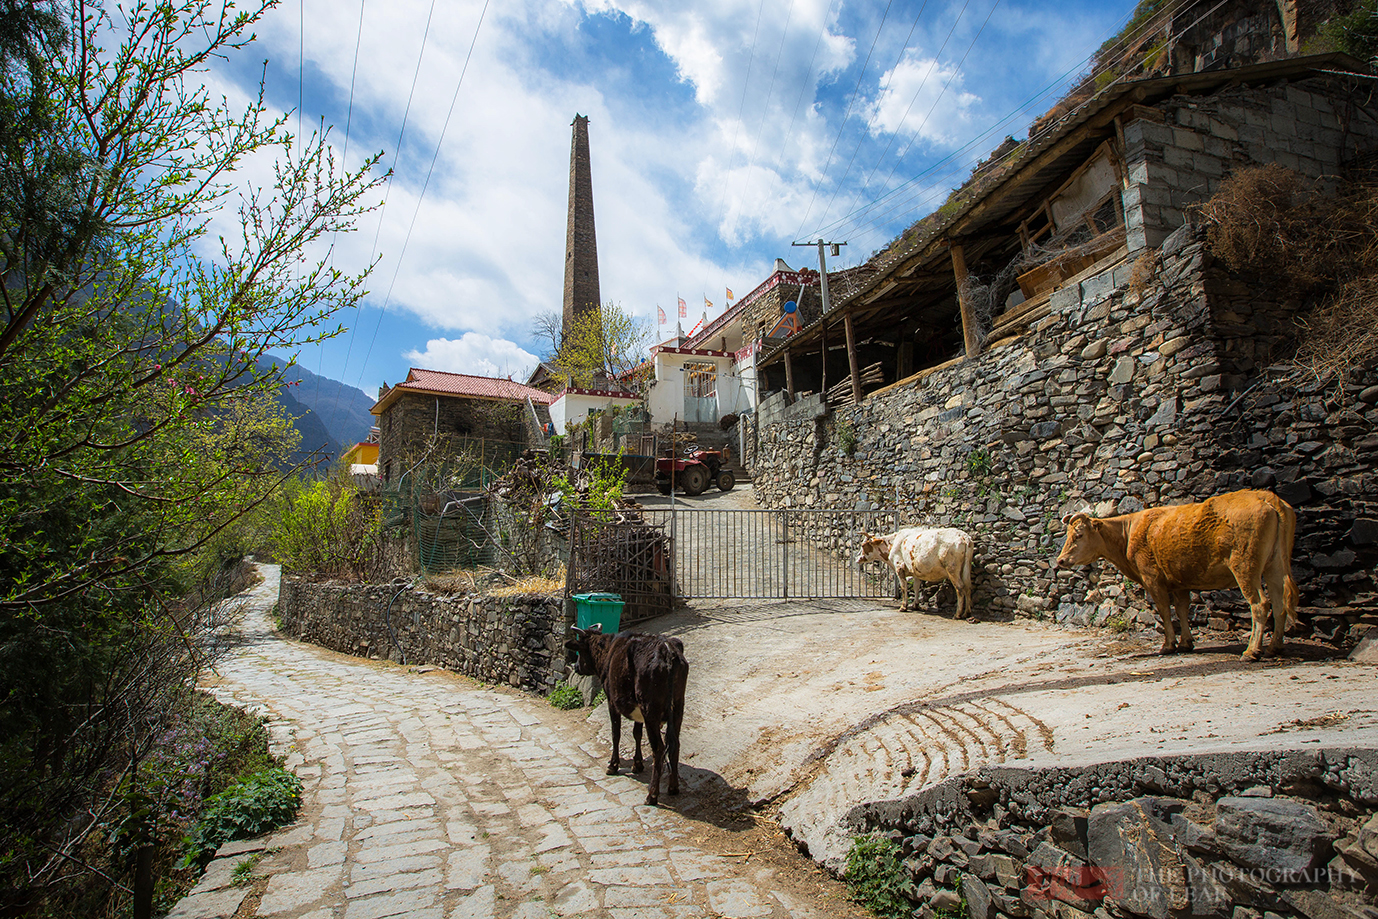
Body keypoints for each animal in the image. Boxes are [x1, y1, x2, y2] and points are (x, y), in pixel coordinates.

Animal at [1058, 487, 1295, 661]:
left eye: (1078, 535)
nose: (1060, 560)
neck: (1128, 533)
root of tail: (1265, 496)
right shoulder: (1180, 582)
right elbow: (1182, 609)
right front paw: (1185, 643)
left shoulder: (1152, 579)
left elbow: (1164, 611)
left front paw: (1168, 645)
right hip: (1275, 565)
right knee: (1279, 602)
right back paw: (1274, 647)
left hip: (1245, 566)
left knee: (1260, 603)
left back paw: (1251, 651)